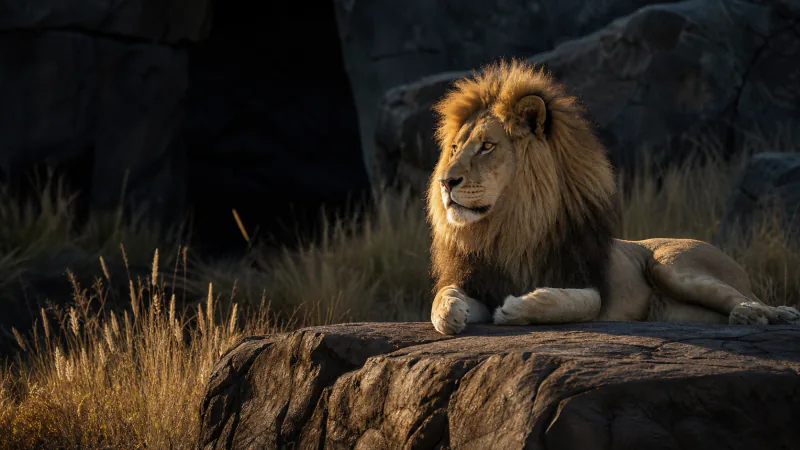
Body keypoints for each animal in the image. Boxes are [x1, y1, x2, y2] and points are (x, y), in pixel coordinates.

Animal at [427, 59, 800, 335]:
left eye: (487, 146)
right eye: (455, 148)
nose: (446, 182)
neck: (509, 228)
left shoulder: (591, 284)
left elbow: (574, 303)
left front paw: (515, 307)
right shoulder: (477, 280)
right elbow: (440, 298)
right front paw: (450, 313)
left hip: (672, 266)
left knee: (747, 298)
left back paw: (755, 314)